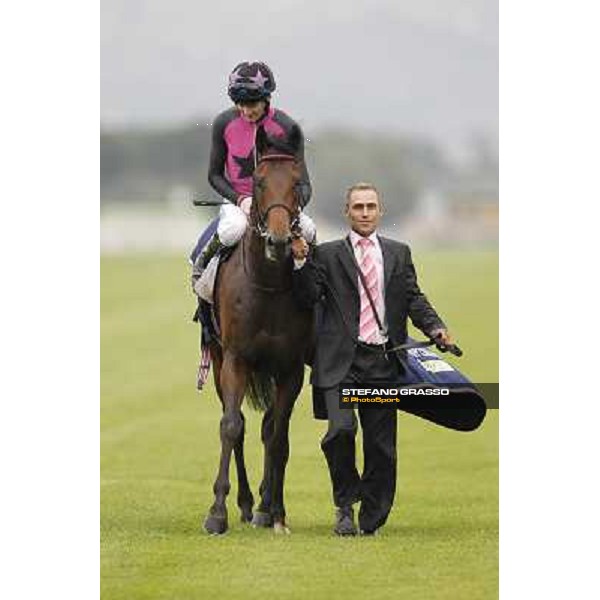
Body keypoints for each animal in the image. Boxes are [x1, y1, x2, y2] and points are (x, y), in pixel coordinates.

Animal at [203, 123, 314, 536]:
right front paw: (217, 512)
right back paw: (248, 503)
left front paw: (277, 511)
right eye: (259, 180)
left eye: (297, 182)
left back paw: (264, 505)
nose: (280, 240)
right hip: (219, 359)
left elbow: (278, 436)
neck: (267, 288)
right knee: (238, 423)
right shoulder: (236, 358)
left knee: (269, 428)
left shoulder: (290, 367)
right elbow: (232, 426)